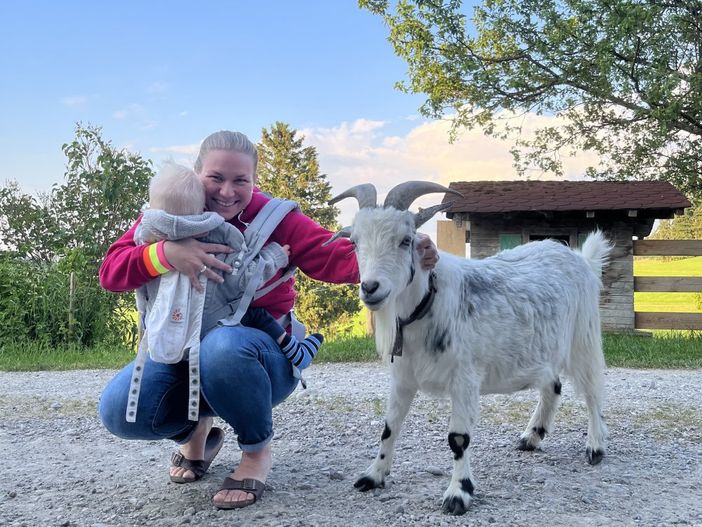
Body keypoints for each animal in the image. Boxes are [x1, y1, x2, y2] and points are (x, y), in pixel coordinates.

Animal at [328, 182, 612, 516]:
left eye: (406, 240)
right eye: (355, 243)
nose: (371, 288)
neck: (428, 302)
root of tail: (581, 258)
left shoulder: (464, 378)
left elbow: (458, 439)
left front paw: (458, 494)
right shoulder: (403, 379)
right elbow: (390, 427)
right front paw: (373, 475)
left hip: (584, 337)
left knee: (592, 390)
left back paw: (595, 446)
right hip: (543, 348)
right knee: (552, 386)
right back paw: (532, 436)